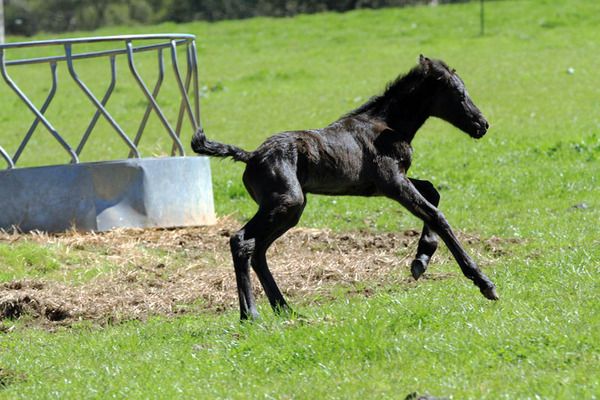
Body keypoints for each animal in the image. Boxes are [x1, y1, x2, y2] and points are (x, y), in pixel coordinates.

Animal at [192, 55, 498, 320]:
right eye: (459, 93)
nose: (482, 124)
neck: (386, 125)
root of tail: (252, 155)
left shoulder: (390, 183)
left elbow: (433, 192)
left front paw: (421, 259)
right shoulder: (392, 183)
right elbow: (436, 214)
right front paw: (484, 283)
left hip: (290, 210)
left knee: (258, 250)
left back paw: (285, 309)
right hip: (286, 203)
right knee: (242, 241)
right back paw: (251, 315)